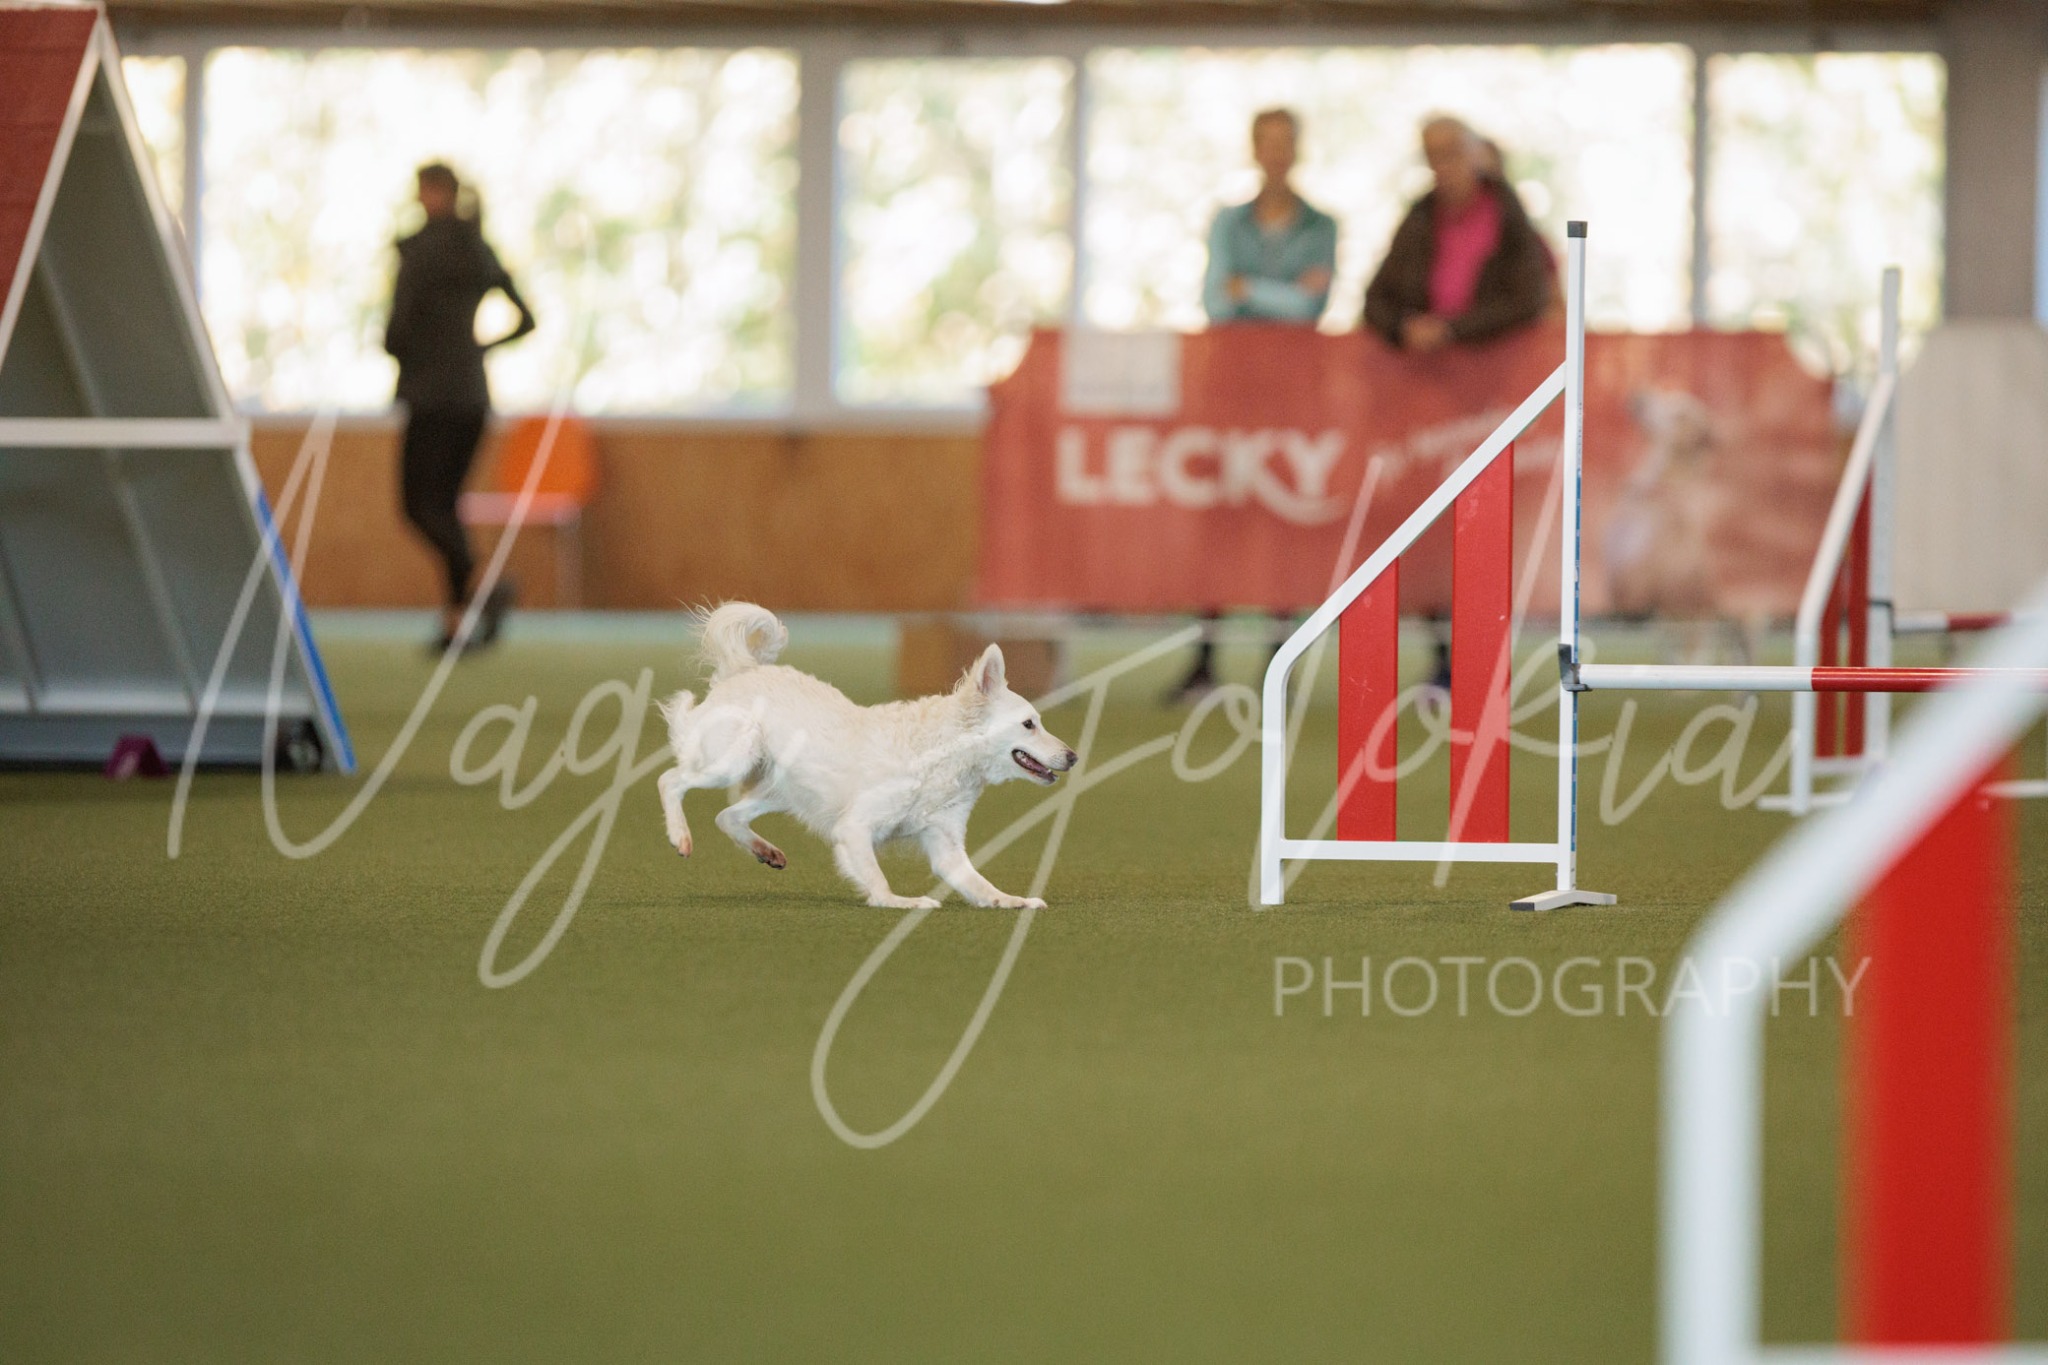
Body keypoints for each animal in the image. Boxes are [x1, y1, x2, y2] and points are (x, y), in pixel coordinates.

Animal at [655, 603, 1078, 910]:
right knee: (671, 780)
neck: (940, 758)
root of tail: (741, 672)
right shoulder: (854, 828)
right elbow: (876, 877)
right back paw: (680, 836)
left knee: (726, 815)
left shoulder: (946, 848)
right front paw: (898, 902)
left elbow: (981, 884)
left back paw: (765, 850)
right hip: (728, 763)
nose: (1073, 756)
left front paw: (1013, 900)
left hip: (781, 791)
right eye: (1029, 724)